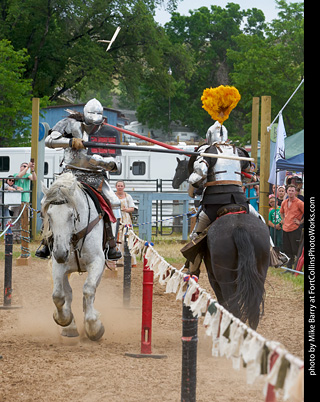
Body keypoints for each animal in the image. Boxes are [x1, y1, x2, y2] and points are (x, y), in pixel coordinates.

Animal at [40, 171, 106, 340]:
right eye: (49, 215)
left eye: (71, 215)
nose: (61, 253)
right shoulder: (58, 264)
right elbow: (58, 295)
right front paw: (64, 320)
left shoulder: (97, 262)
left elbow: (89, 290)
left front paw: (93, 327)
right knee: (68, 293)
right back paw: (70, 327)